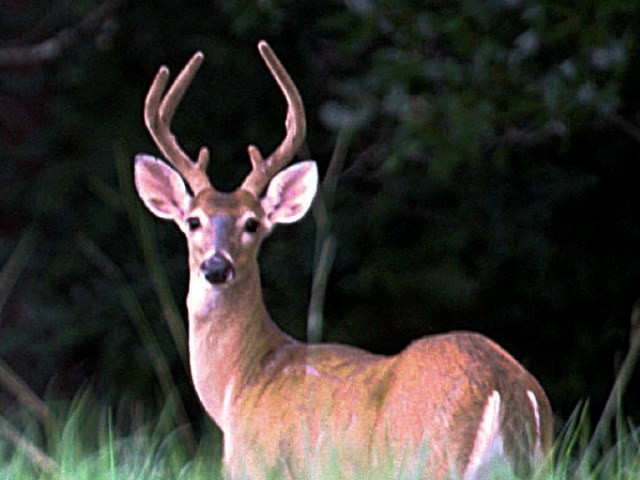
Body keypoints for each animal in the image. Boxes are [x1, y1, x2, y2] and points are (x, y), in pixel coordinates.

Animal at [133, 40, 553, 479]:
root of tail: (507, 388)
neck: (242, 380)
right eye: (193, 220)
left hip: (431, 458)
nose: (216, 267)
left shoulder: (260, 465)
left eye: (252, 223)